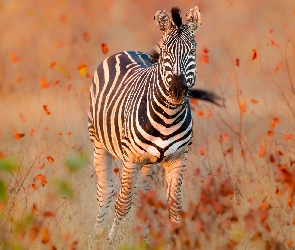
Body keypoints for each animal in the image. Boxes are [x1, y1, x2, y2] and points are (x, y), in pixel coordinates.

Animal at [86, 5, 221, 243]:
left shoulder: (179, 159)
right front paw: (110, 241)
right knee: (105, 191)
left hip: (147, 161)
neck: (168, 117)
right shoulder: (130, 159)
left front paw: (179, 242)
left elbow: (174, 206)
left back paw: (144, 239)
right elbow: (123, 203)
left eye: (192, 51)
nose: (177, 89)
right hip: (99, 144)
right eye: (166, 52)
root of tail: (127, 51)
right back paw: (97, 237)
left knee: (142, 194)